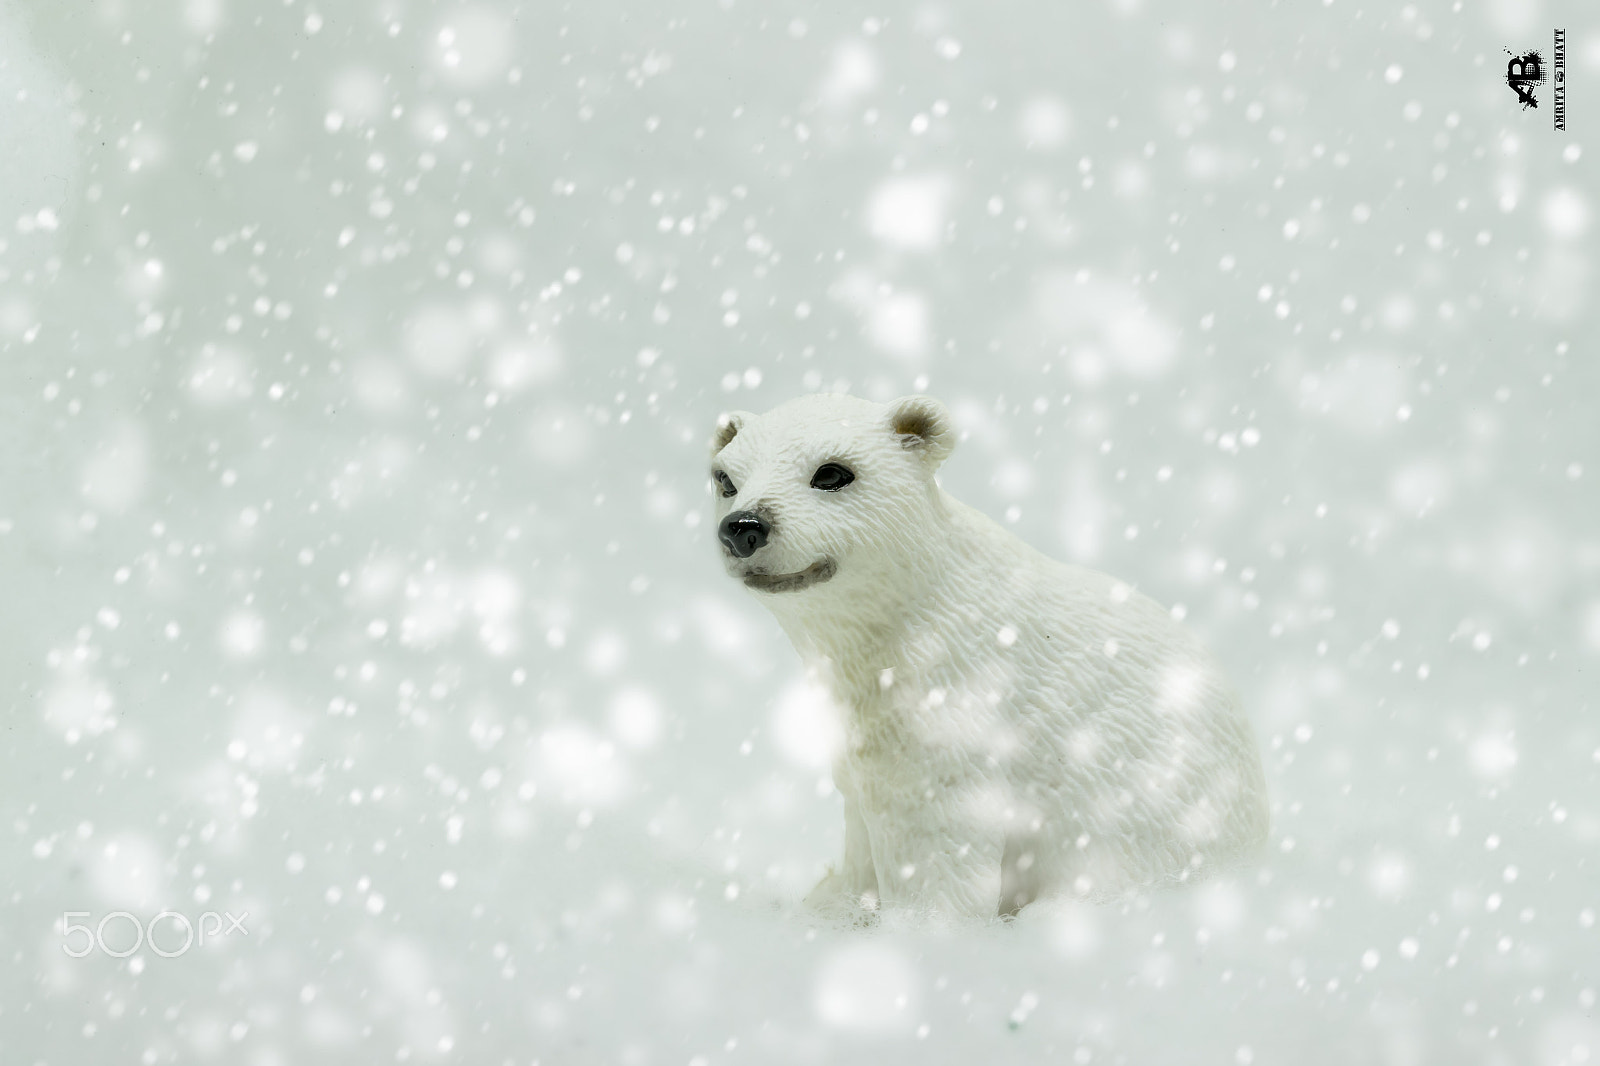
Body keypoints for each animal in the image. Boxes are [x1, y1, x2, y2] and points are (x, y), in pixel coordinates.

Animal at [709, 392, 1269, 920]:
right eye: (725, 479)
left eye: (831, 472)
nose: (743, 526)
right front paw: (829, 907)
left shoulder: (956, 705)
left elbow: (940, 837)